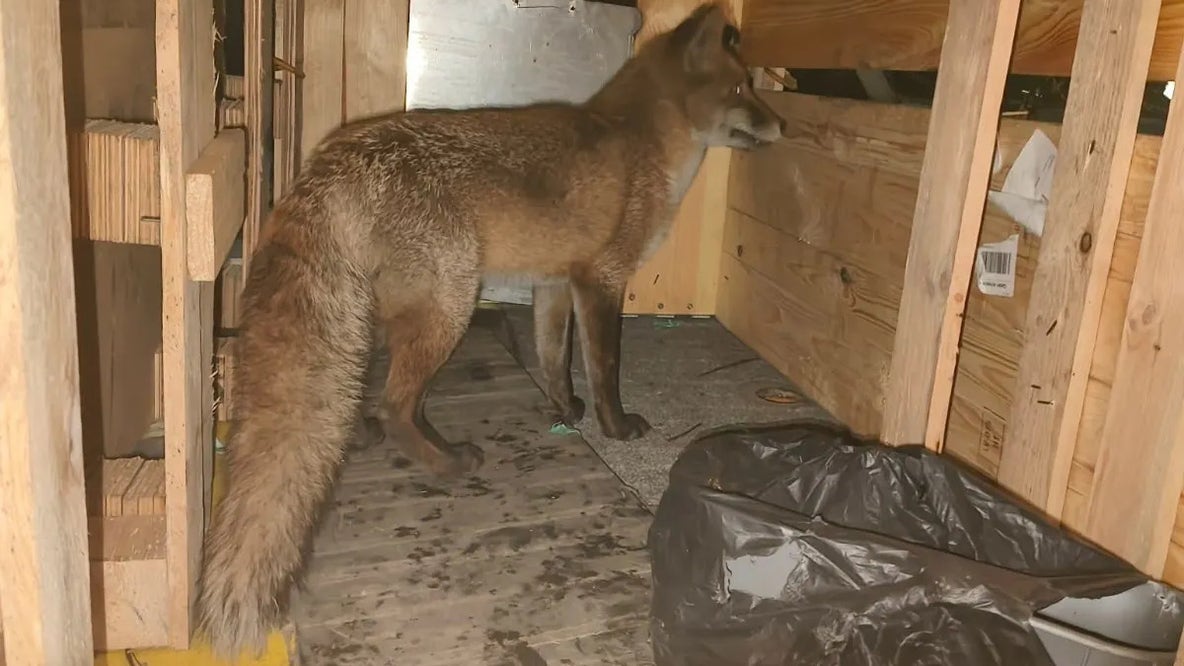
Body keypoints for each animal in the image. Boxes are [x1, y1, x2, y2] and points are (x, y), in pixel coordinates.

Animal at [195, 2, 783, 659]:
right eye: (743, 90)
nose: (783, 125)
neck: (644, 146)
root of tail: (328, 159)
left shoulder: (554, 284)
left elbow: (554, 357)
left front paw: (564, 409)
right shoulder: (602, 279)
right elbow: (605, 366)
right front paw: (615, 426)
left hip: (379, 313)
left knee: (362, 392)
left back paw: (361, 435)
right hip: (452, 301)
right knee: (396, 405)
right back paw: (447, 461)